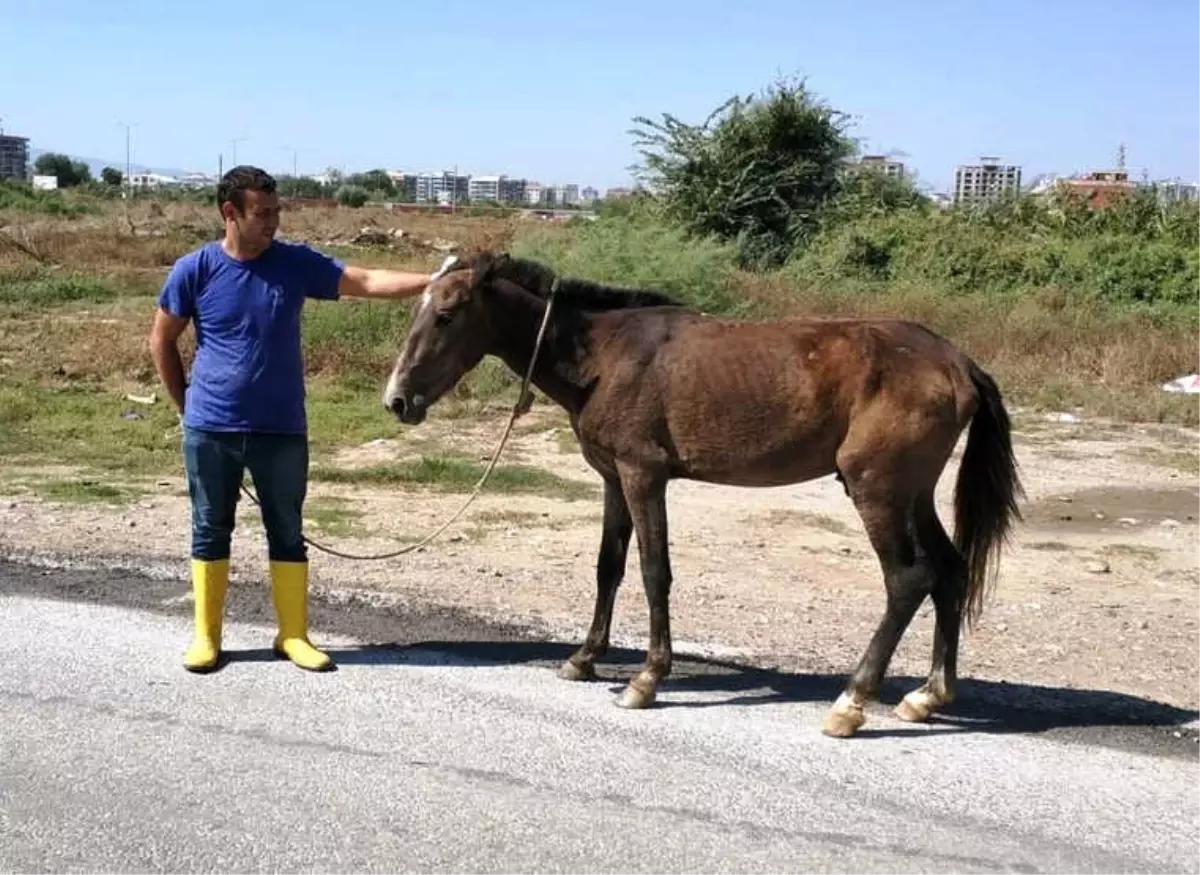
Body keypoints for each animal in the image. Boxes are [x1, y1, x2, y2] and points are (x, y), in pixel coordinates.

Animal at [381, 249, 1022, 734]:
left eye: (446, 314)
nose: (397, 400)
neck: (605, 356)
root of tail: (957, 362)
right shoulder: (614, 479)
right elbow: (608, 567)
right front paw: (585, 658)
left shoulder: (643, 476)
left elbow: (653, 572)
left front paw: (646, 679)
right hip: (914, 494)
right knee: (949, 573)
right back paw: (927, 696)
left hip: (878, 491)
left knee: (907, 581)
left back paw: (852, 703)